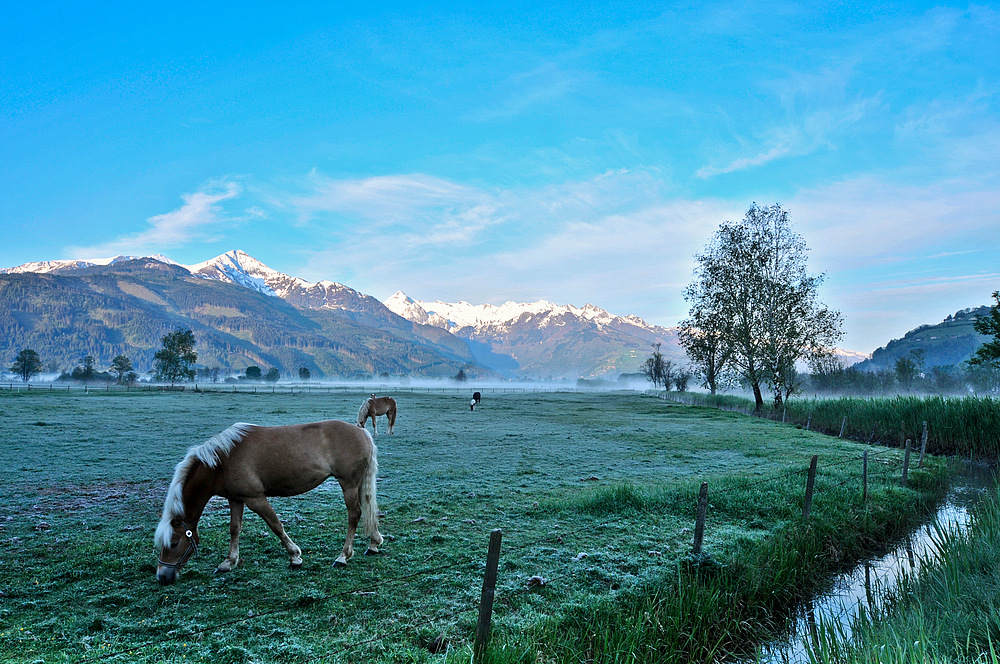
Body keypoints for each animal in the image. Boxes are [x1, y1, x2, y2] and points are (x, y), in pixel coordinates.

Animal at [155, 420, 382, 588]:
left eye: (174, 542)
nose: (162, 576)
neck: (222, 461)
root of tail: (362, 432)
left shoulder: (255, 498)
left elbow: (276, 525)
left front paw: (295, 557)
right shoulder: (236, 499)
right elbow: (234, 529)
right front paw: (228, 562)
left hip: (348, 484)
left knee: (354, 514)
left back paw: (343, 557)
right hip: (358, 484)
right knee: (367, 509)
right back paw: (373, 543)